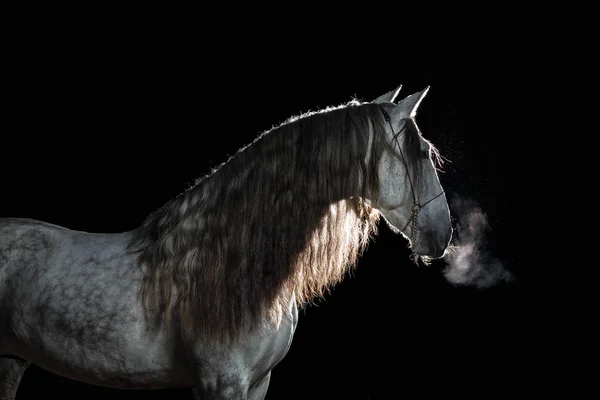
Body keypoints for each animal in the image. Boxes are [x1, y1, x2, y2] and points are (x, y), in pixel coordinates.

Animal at [0, 83, 450, 396]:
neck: (230, 263)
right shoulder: (222, 383)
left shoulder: (257, 384)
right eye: (422, 154)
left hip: (12, 361)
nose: (443, 234)